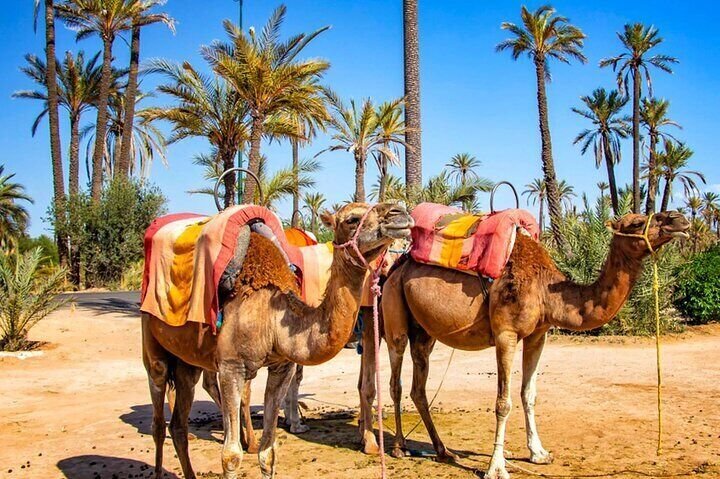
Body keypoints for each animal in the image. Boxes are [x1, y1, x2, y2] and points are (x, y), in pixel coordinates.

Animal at [142, 202, 413, 479]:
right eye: (352, 219)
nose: (399, 213)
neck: (271, 318)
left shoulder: (281, 366)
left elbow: (268, 452)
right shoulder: (231, 367)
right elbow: (230, 456)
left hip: (187, 362)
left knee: (178, 423)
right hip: (153, 343)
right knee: (158, 418)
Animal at [359, 211, 689, 479]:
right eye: (635, 223)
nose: (680, 220)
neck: (546, 290)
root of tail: (395, 267)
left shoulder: (537, 335)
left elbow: (528, 394)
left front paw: (539, 453)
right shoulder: (506, 333)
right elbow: (503, 402)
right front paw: (496, 467)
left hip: (425, 331)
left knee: (419, 387)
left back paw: (442, 450)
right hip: (395, 314)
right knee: (396, 381)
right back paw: (400, 447)